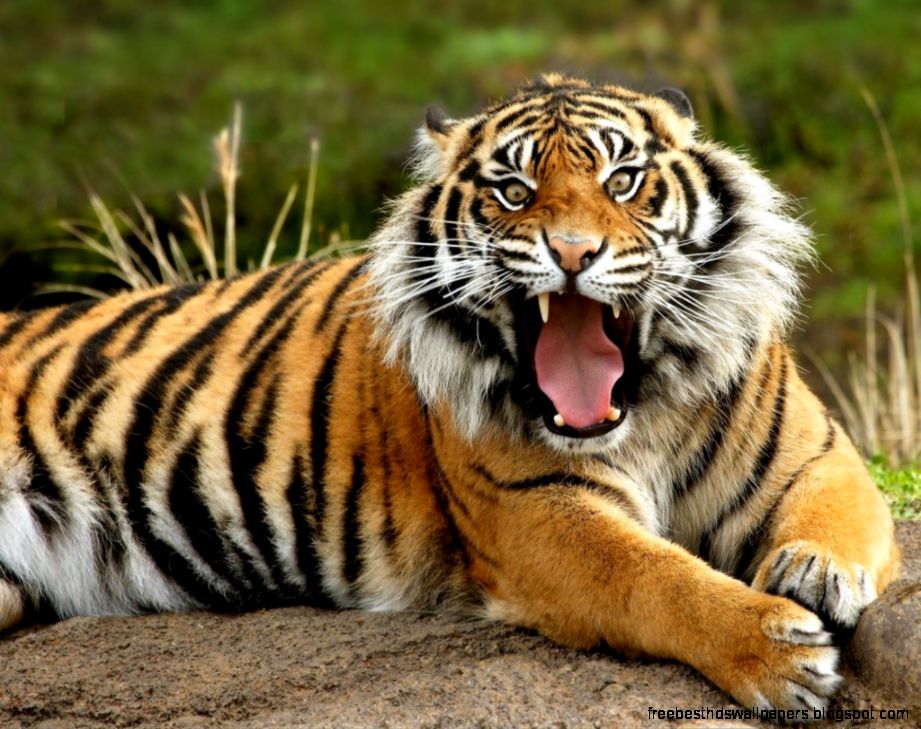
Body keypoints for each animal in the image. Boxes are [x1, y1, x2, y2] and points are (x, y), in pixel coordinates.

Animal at [0, 74, 899, 715]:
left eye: (622, 180)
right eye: (513, 192)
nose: (571, 252)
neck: (640, 410)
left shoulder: (817, 452)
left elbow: (837, 513)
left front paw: (815, 573)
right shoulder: (539, 511)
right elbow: (655, 576)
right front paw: (778, 651)